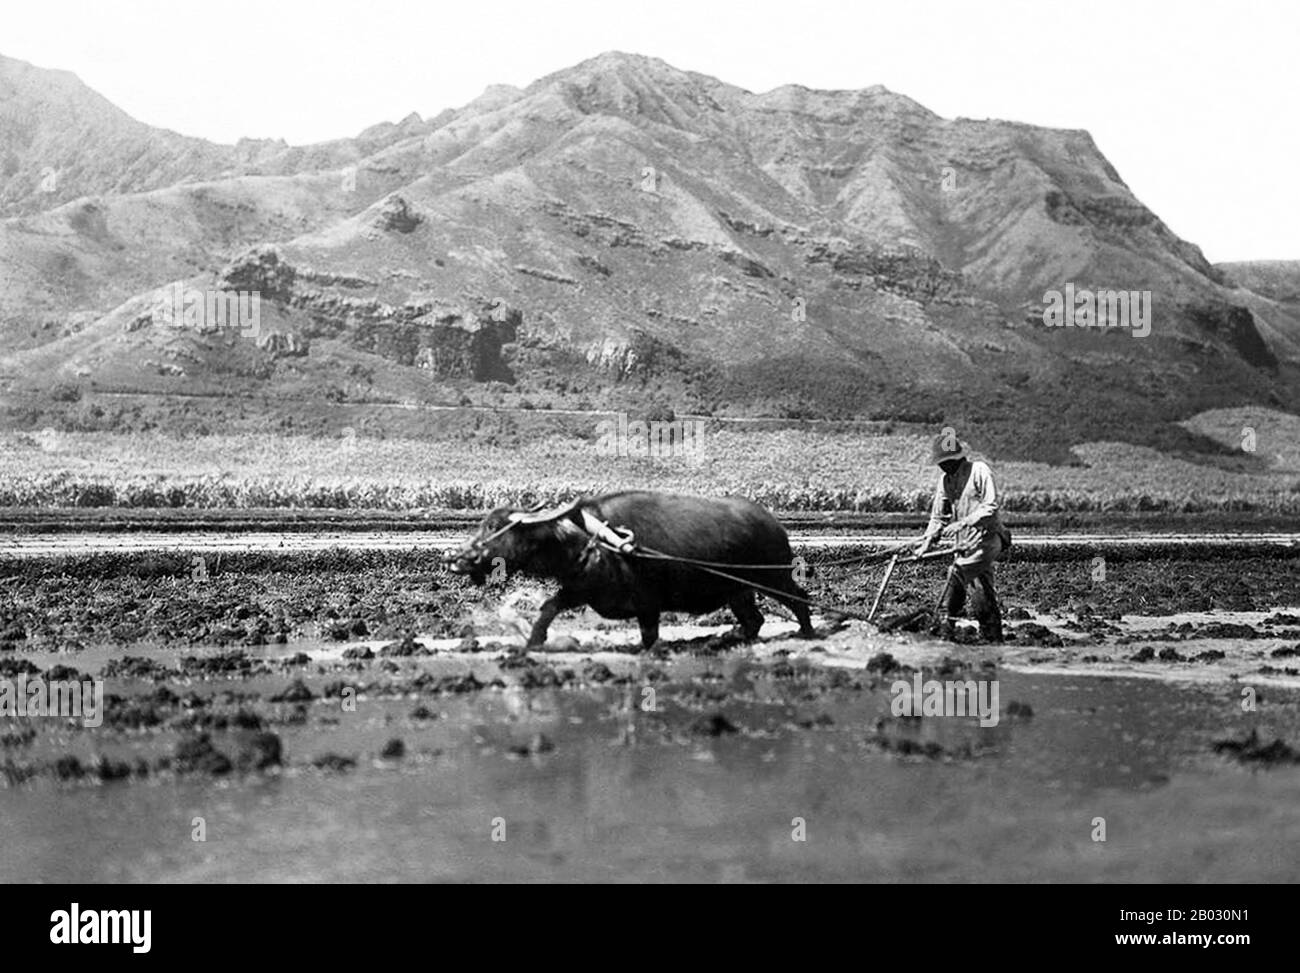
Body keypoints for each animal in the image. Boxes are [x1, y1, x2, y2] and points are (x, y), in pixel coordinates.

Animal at [441, 489, 816, 650]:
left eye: (494, 527)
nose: (455, 559)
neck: (590, 541)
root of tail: (775, 525)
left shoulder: (649, 604)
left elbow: (649, 637)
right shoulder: (580, 589)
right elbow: (549, 607)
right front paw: (534, 642)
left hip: (772, 575)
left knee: (799, 598)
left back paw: (808, 633)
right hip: (739, 590)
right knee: (754, 620)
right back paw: (726, 638)